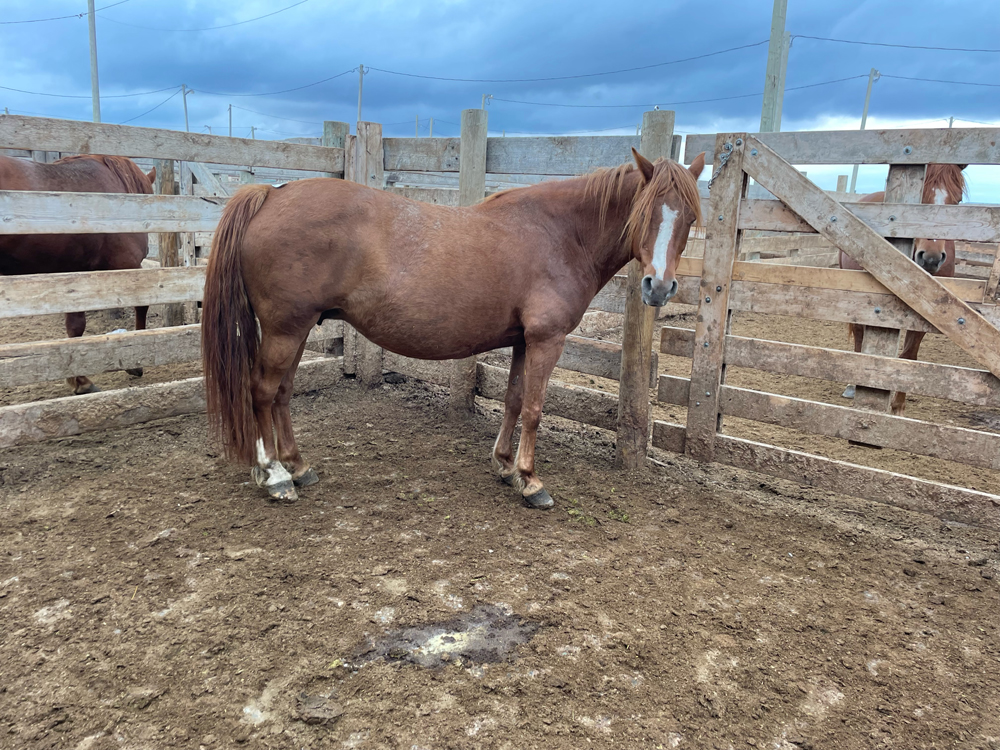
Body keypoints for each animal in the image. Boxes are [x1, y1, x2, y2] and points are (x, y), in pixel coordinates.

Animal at [0, 153, 157, 394]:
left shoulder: (75, 274)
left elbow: (74, 327)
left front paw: (79, 380)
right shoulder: (126, 265)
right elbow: (141, 305)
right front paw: (135, 364)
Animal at [202, 149, 705, 508]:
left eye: (690, 218)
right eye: (644, 213)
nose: (659, 287)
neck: (559, 235)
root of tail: (271, 194)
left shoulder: (523, 341)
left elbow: (513, 400)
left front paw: (505, 466)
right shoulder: (547, 339)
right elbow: (535, 409)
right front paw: (530, 480)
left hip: (299, 329)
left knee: (282, 394)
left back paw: (298, 466)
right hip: (285, 329)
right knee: (261, 392)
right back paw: (274, 475)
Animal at [839, 163, 966, 415]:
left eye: (956, 201)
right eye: (920, 198)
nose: (931, 258)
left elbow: (908, 355)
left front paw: (898, 405)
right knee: (859, 334)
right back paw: (852, 384)